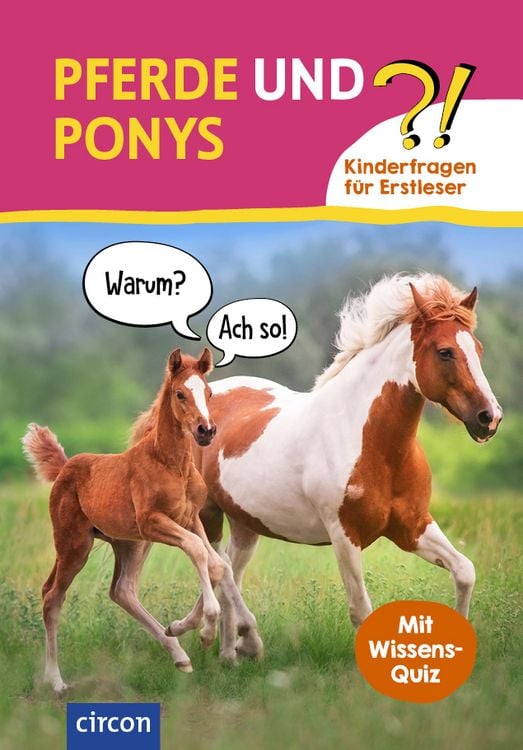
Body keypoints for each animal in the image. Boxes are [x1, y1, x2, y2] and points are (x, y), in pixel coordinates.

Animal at [22, 348, 246, 692]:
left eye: (208, 392)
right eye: (180, 394)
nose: (206, 431)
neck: (171, 464)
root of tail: (65, 468)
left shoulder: (189, 518)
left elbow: (217, 564)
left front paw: (184, 626)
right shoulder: (152, 521)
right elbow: (197, 551)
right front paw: (206, 628)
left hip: (127, 543)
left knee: (121, 590)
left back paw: (179, 655)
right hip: (74, 545)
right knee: (52, 597)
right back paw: (56, 681)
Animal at [132, 274, 503, 662]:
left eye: (478, 349)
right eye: (445, 351)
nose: (489, 418)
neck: (372, 443)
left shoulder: (412, 526)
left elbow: (465, 571)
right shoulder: (344, 535)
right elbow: (360, 609)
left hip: (245, 523)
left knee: (228, 569)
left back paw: (225, 650)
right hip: (207, 514)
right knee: (219, 567)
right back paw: (234, 637)